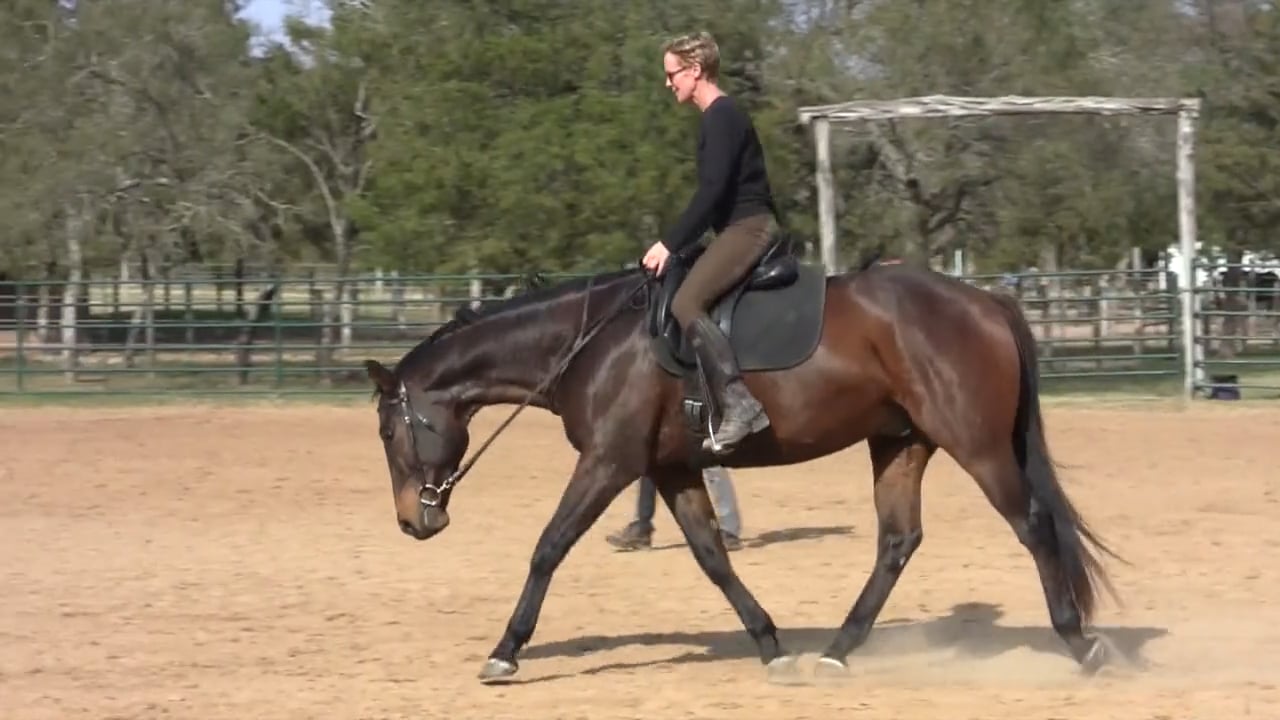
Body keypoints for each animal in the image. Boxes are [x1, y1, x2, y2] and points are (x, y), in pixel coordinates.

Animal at [361, 242, 1122, 684]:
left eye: (390, 432)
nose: (410, 521)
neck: (590, 343)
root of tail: (983, 299)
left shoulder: (609, 462)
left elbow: (549, 547)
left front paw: (507, 649)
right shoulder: (670, 469)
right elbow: (712, 557)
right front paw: (769, 642)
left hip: (978, 445)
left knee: (1032, 525)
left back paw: (1080, 644)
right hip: (901, 443)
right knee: (898, 542)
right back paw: (837, 649)